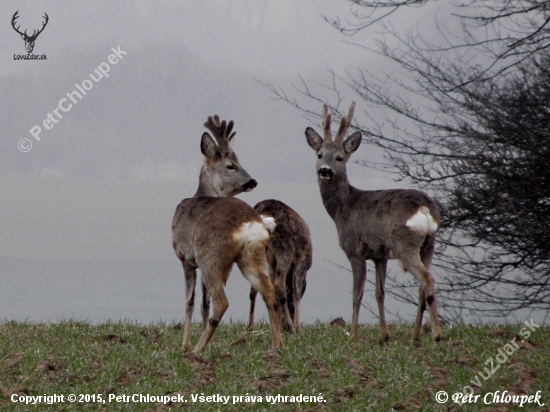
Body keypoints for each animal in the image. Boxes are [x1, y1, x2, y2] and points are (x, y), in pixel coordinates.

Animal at [171, 114, 284, 352]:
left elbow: (190, 302)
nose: (252, 181)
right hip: (251, 256)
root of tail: (250, 223)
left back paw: (198, 349)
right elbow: (203, 303)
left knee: (222, 302)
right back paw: (276, 345)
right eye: (231, 165)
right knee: (269, 292)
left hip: (210, 256)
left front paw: (185, 345)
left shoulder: (185, 258)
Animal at [306, 102, 444, 342]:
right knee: (422, 285)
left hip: (405, 243)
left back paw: (436, 334)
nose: (325, 170)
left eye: (340, 157)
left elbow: (357, 294)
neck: (342, 207)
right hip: (429, 245)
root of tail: (426, 209)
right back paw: (415, 336)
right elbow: (380, 293)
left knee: (427, 279)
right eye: (320, 154)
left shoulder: (355, 250)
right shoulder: (380, 255)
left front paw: (352, 335)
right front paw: (384, 335)